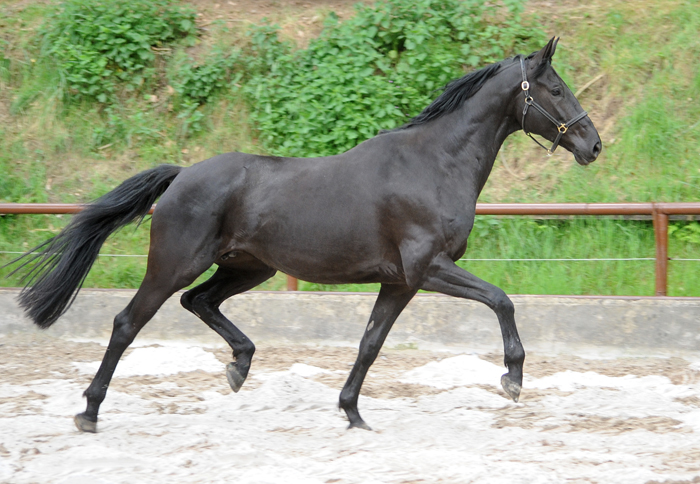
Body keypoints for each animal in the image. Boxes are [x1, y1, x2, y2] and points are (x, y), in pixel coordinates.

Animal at [10, 37, 600, 432]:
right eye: (555, 88)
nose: (594, 145)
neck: (433, 164)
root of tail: (181, 175)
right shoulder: (429, 269)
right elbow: (502, 300)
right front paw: (513, 379)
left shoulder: (399, 282)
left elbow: (370, 343)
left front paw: (353, 413)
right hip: (175, 264)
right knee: (128, 322)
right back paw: (89, 411)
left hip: (248, 267)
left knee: (198, 302)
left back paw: (239, 366)